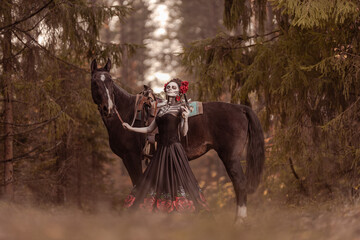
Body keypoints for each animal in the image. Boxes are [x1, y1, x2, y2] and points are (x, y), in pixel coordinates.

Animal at [90, 58, 264, 223]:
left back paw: (239, 221)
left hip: (230, 156)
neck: (127, 112)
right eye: (95, 82)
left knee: (240, 183)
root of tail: (240, 108)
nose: (108, 108)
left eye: (110, 81)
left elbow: (137, 182)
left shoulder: (131, 156)